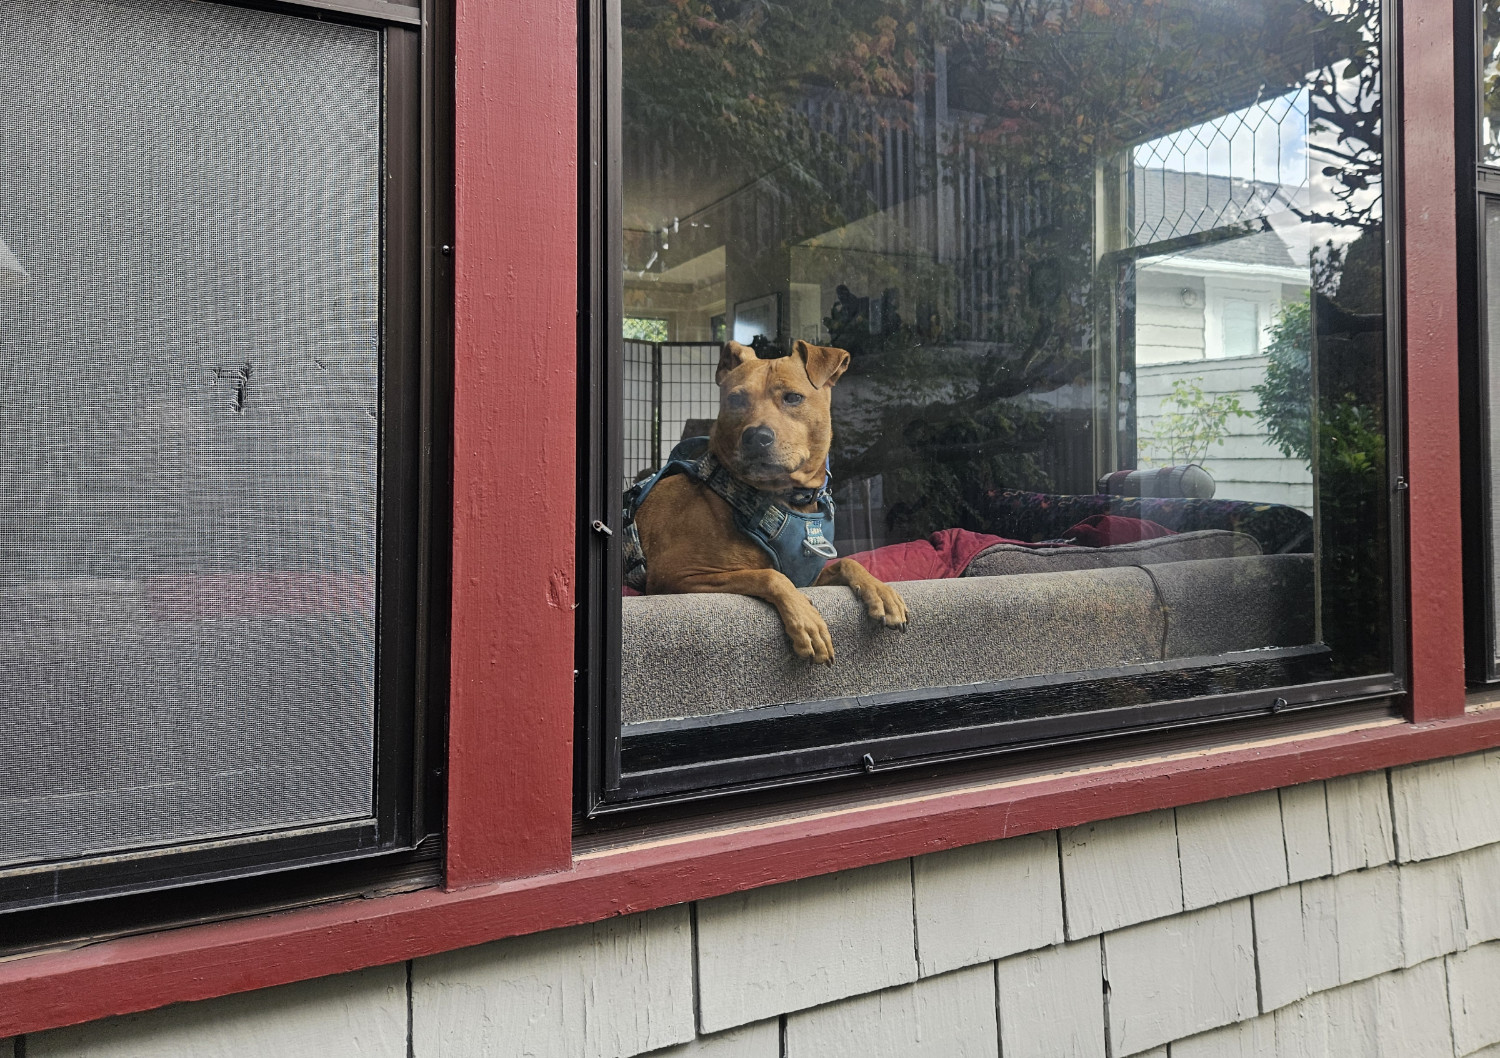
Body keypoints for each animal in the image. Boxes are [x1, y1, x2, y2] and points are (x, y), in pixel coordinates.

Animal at [624, 342, 906, 663]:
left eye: (793, 397)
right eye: (735, 399)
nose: (756, 436)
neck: (787, 502)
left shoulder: (807, 577)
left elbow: (847, 562)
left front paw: (881, 591)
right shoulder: (676, 577)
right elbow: (769, 575)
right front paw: (806, 622)